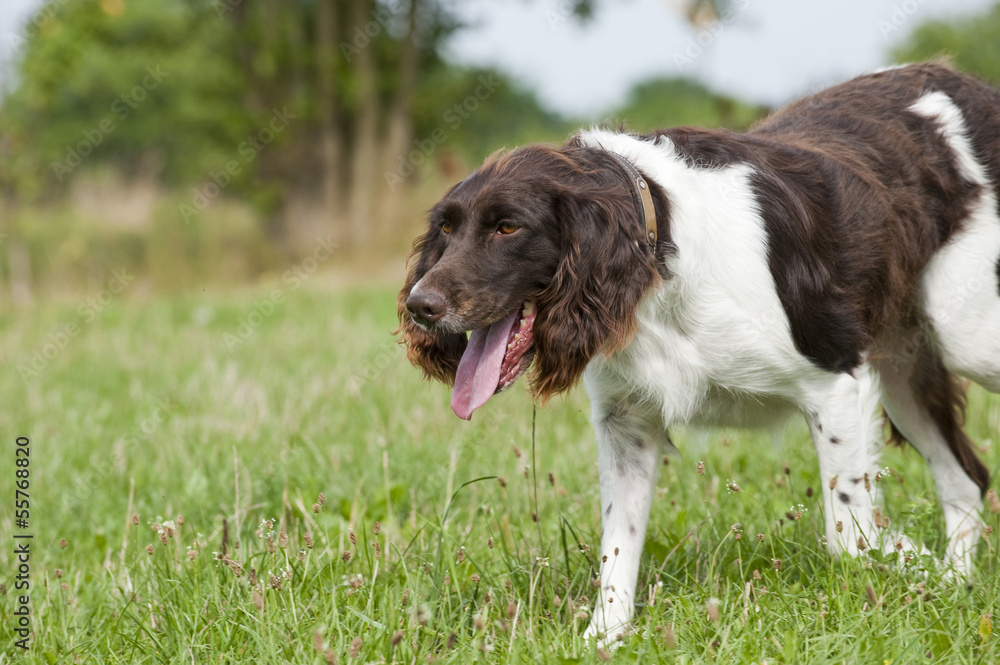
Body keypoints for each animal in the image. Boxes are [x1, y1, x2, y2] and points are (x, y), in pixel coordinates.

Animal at [394, 61, 996, 640]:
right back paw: (956, 578)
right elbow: (618, 545)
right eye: (446, 228)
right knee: (965, 481)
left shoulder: (835, 383)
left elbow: (850, 534)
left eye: (507, 227)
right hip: (904, 362)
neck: (656, 257)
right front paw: (604, 635)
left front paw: (907, 557)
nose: (420, 305)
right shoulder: (627, 423)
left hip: (961, 334)